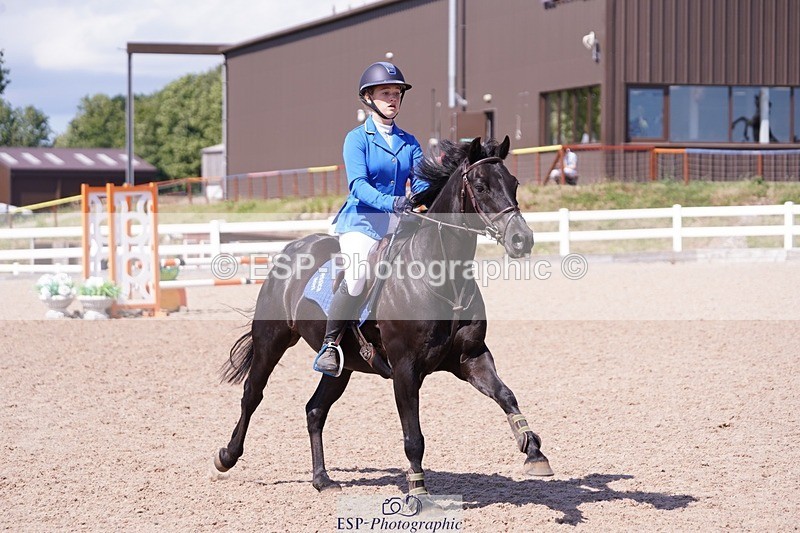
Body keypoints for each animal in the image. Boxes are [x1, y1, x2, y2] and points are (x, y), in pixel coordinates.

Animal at [213, 135, 553, 497]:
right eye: (480, 186)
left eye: (514, 183)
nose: (522, 239)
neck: (443, 278)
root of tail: (291, 249)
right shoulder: (405, 369)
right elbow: (413, 437)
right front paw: (418, 493)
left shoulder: (471, 357)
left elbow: (506, 395)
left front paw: (534, 452)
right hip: (272, 338)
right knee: (252, 394)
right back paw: (226, 456)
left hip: (343, 365)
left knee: (315, 410)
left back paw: (322, 479)